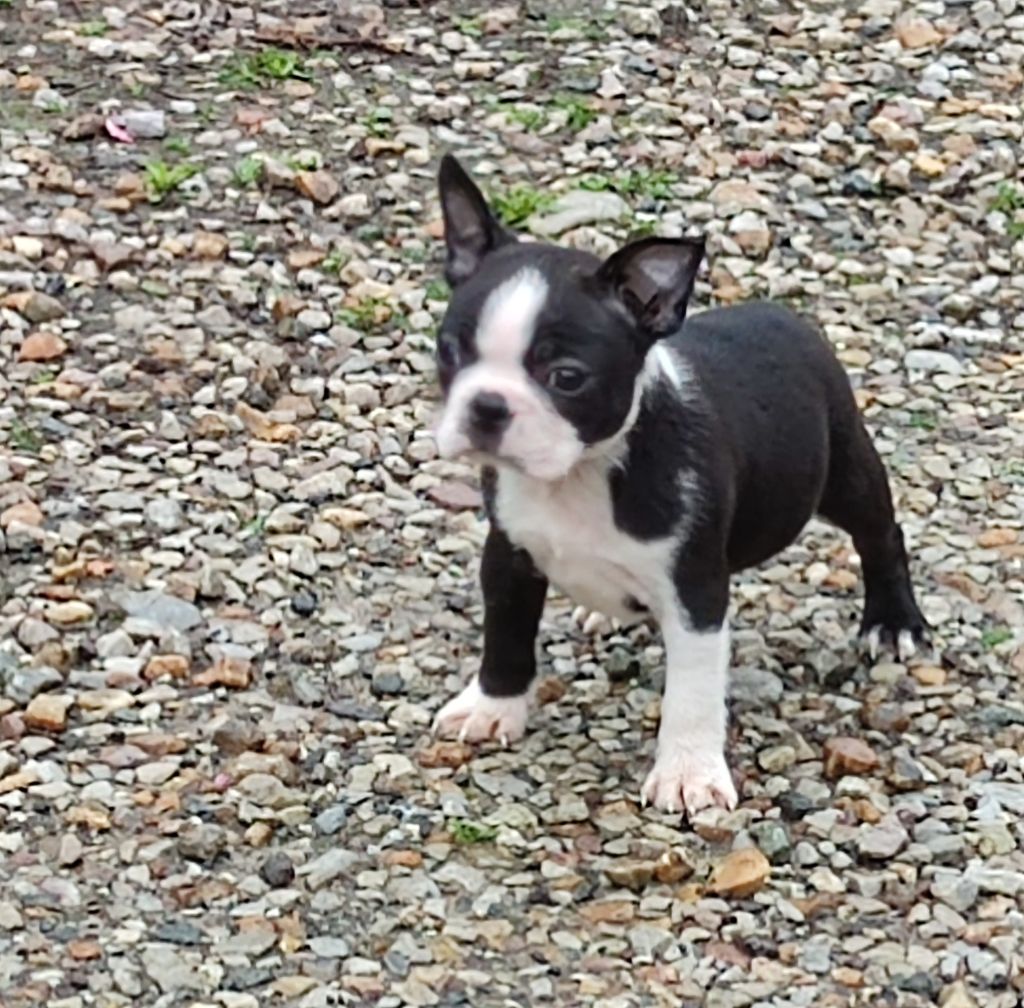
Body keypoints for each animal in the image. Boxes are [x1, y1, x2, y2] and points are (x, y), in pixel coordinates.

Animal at [428, 154, 928, 816]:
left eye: (567, 377)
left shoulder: (696, 594)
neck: (580, 475)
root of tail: (779, 312)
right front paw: (491, 707)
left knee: (879, 531)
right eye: (449, 350)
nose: (487, 405)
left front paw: (687, 772)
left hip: (842, 471)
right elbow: (505, 635)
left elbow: (690, 693)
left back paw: (894, 622)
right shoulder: (509, 552)